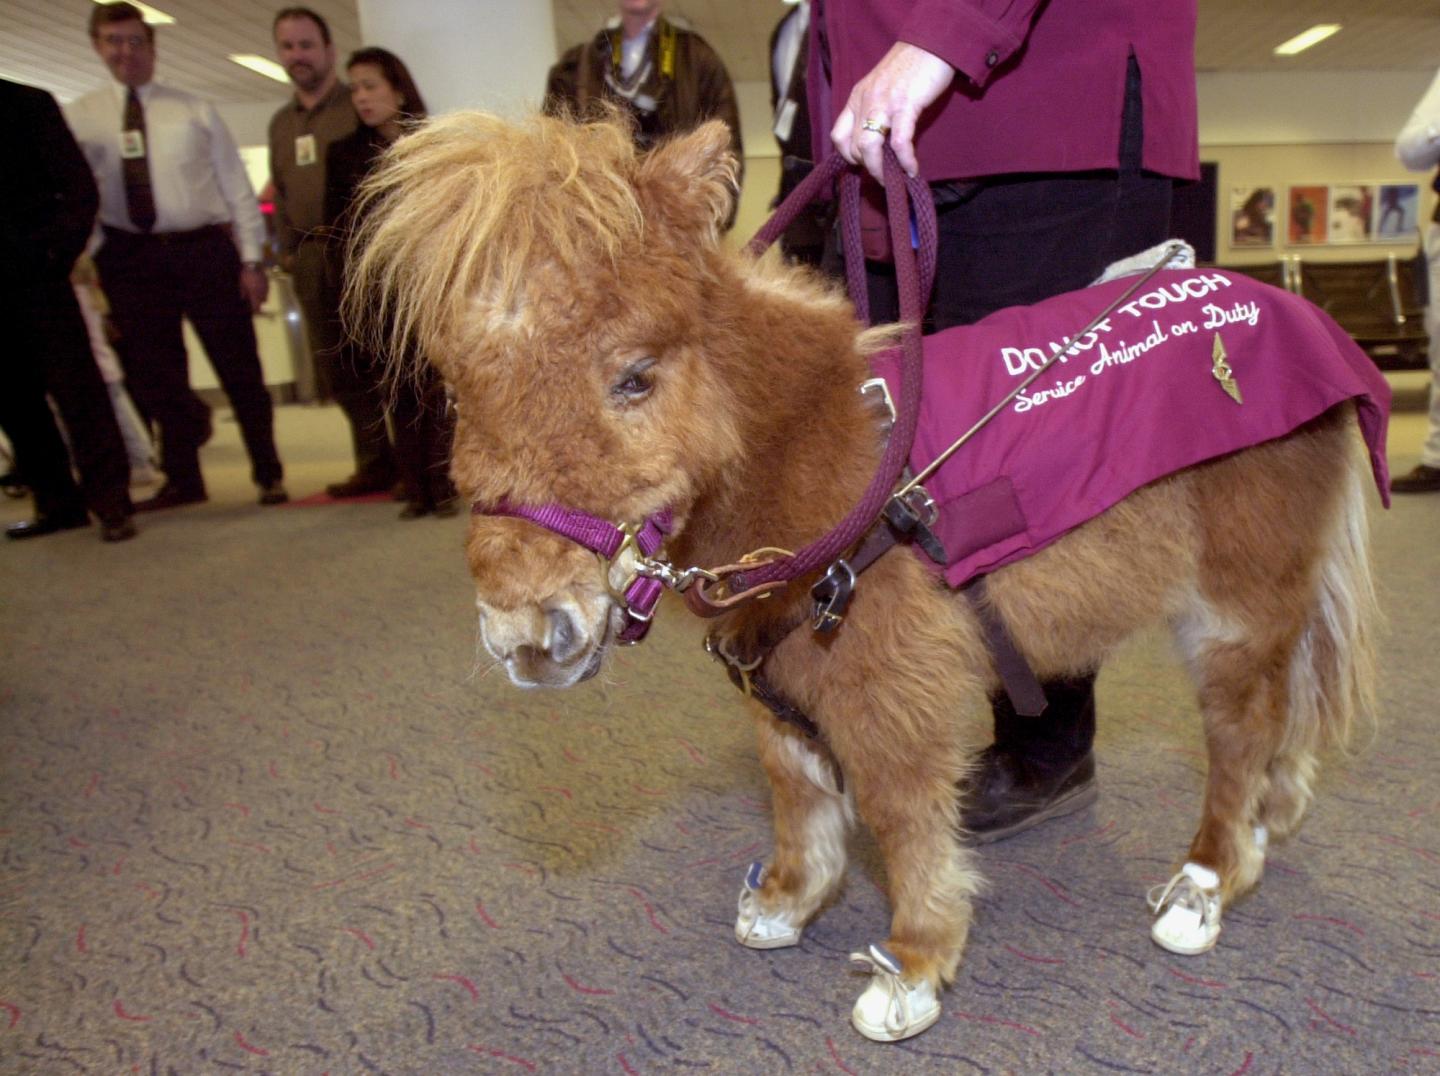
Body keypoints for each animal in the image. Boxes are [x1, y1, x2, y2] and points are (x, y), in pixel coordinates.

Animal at [343, 111, 1383, 1043]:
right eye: (458, 389)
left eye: (634, 376)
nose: (525, 637)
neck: (816, 455)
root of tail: (1306, 323)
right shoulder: (778, 671)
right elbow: (796, 785)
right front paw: (787, 900)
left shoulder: (887, 687)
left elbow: (895, 807)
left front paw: (913, 964)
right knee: (1284, 710)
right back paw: (1270, 822)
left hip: (1237, 606)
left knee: (1242, 730)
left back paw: (1207, 884)